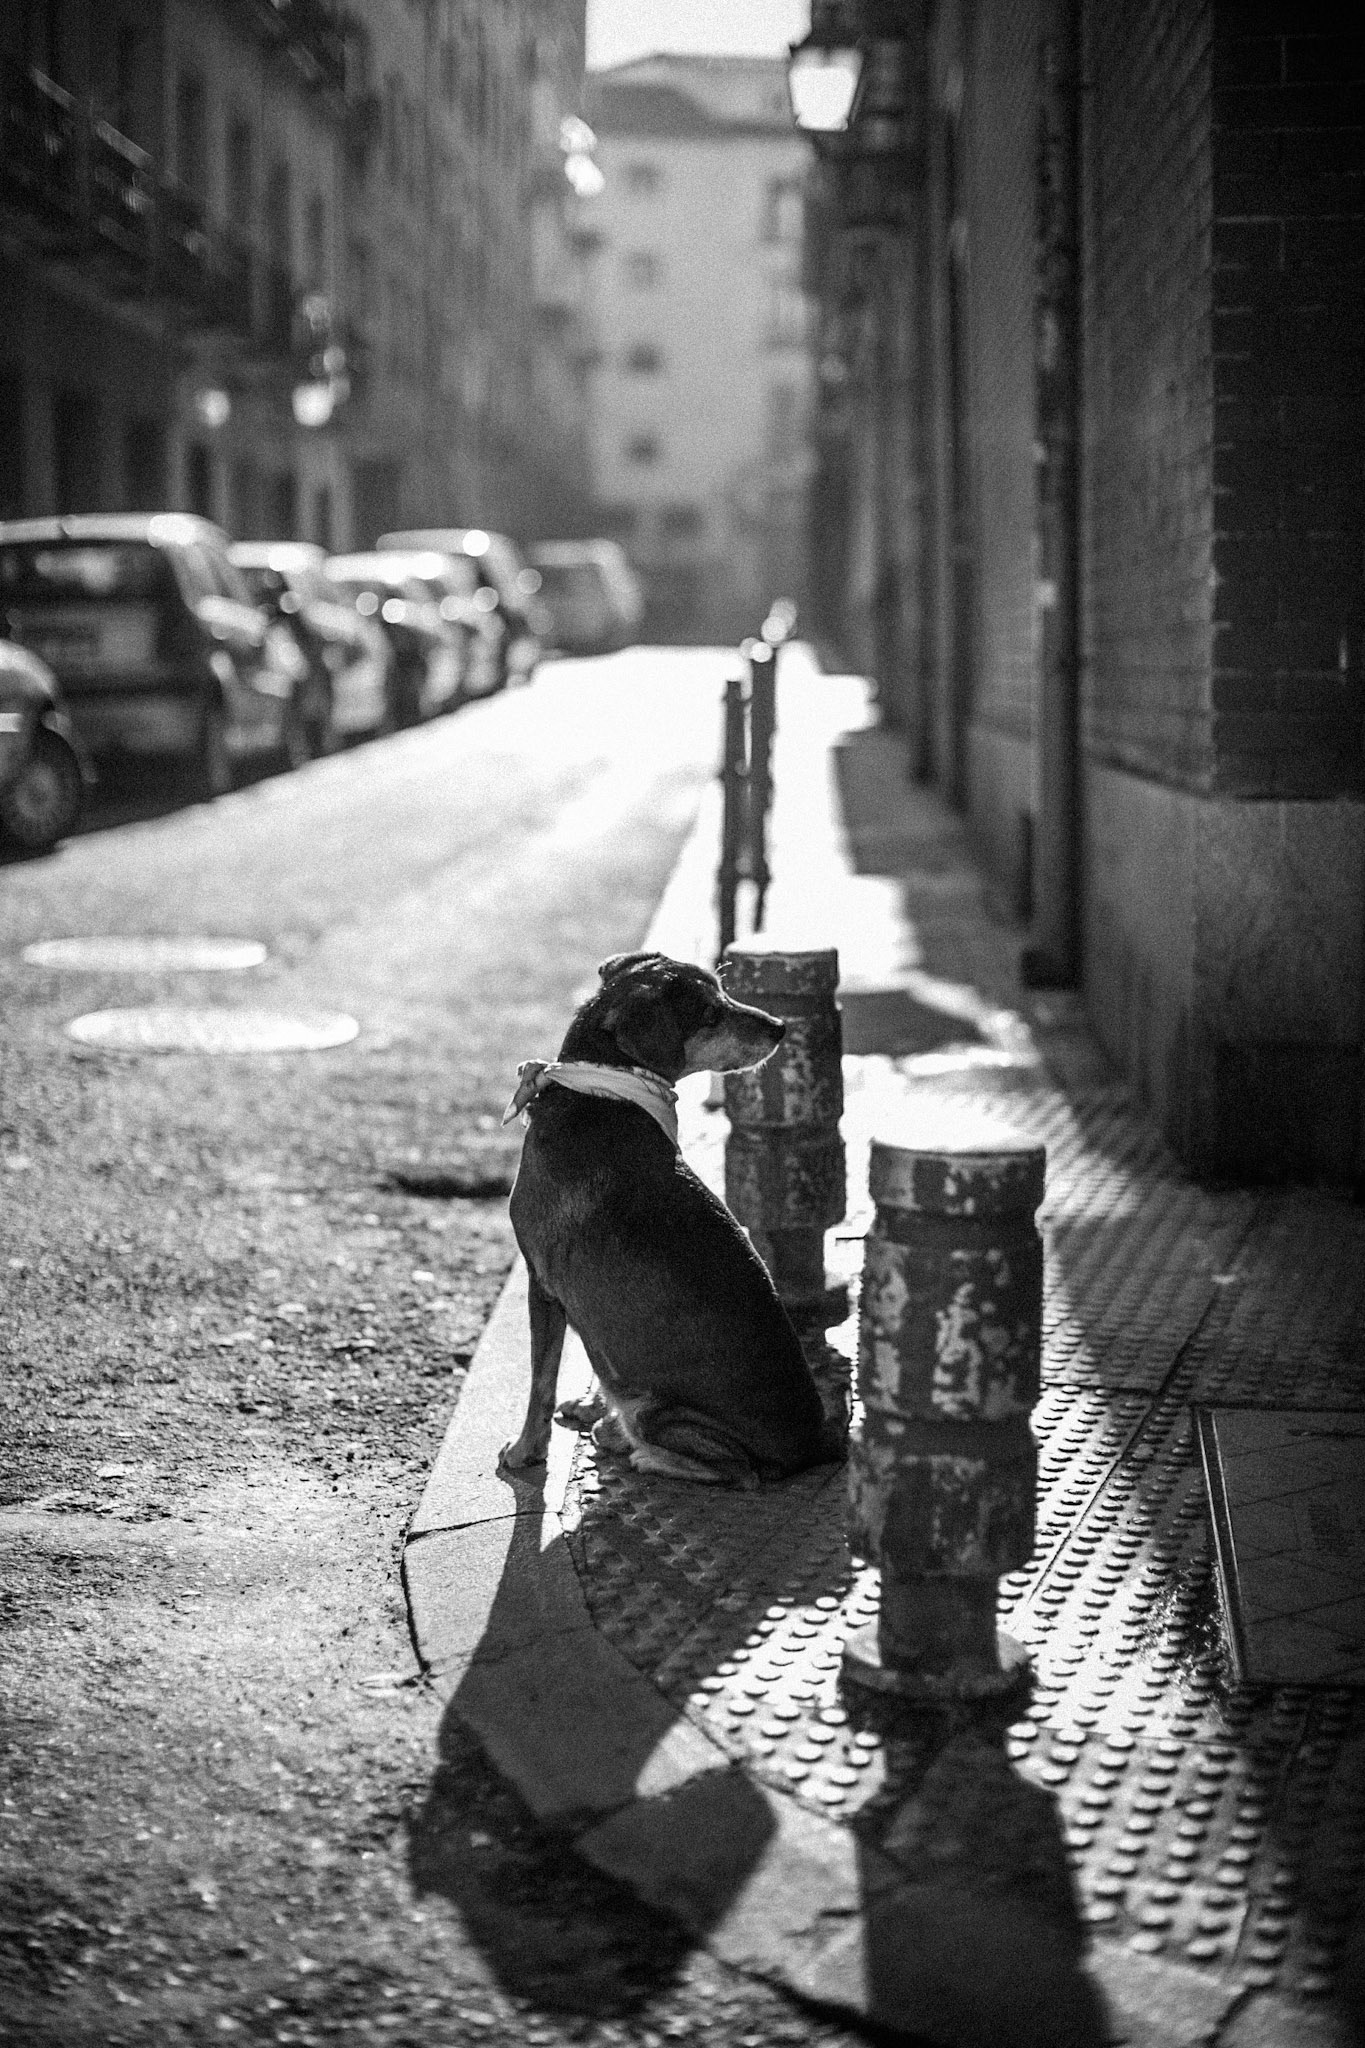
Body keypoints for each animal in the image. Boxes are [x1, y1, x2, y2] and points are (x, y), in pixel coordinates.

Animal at [499, 950, 847, 1487]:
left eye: (721, 997)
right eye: (711, 1012)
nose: (781, 1027)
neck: (605, 1088)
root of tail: (815, 1442)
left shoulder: (544, 1284)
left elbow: (541, 1381)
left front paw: (525, 1450)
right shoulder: (589, 1303)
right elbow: (597, 1365)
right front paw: (592, 1405)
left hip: (664, 1416)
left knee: (741, 1471)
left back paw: (638, 1449)